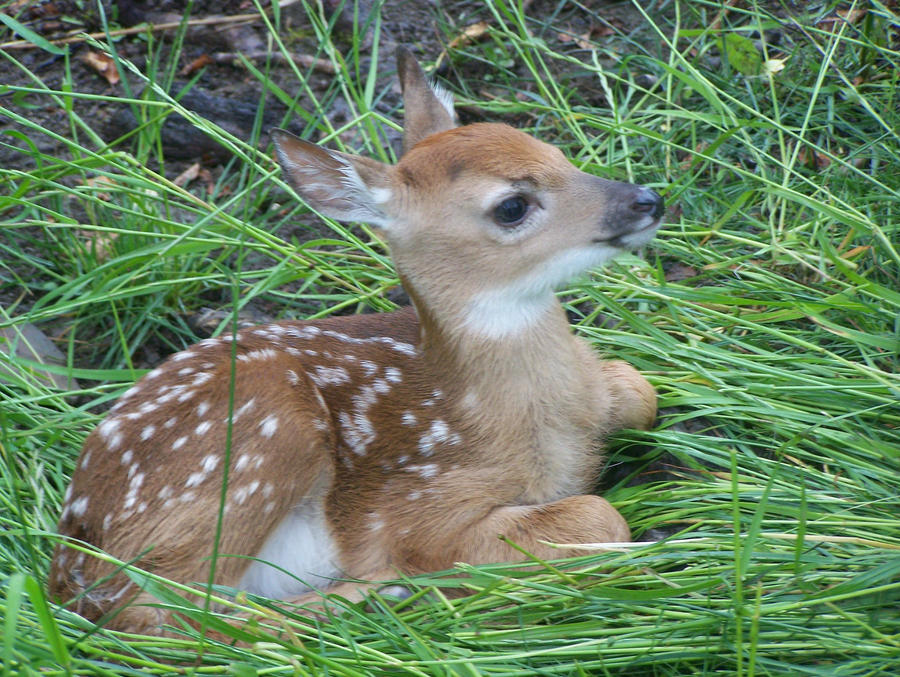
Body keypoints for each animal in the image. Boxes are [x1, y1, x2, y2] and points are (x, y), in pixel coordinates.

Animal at [52, 51, 664, 632]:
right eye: (512, 206)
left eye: (559, 153)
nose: (647, 199)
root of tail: (67, 564)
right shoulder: (420, 509)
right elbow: (598, 515)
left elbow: (640, 390)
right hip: (258, 433)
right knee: (163, 617)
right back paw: (374, 596)